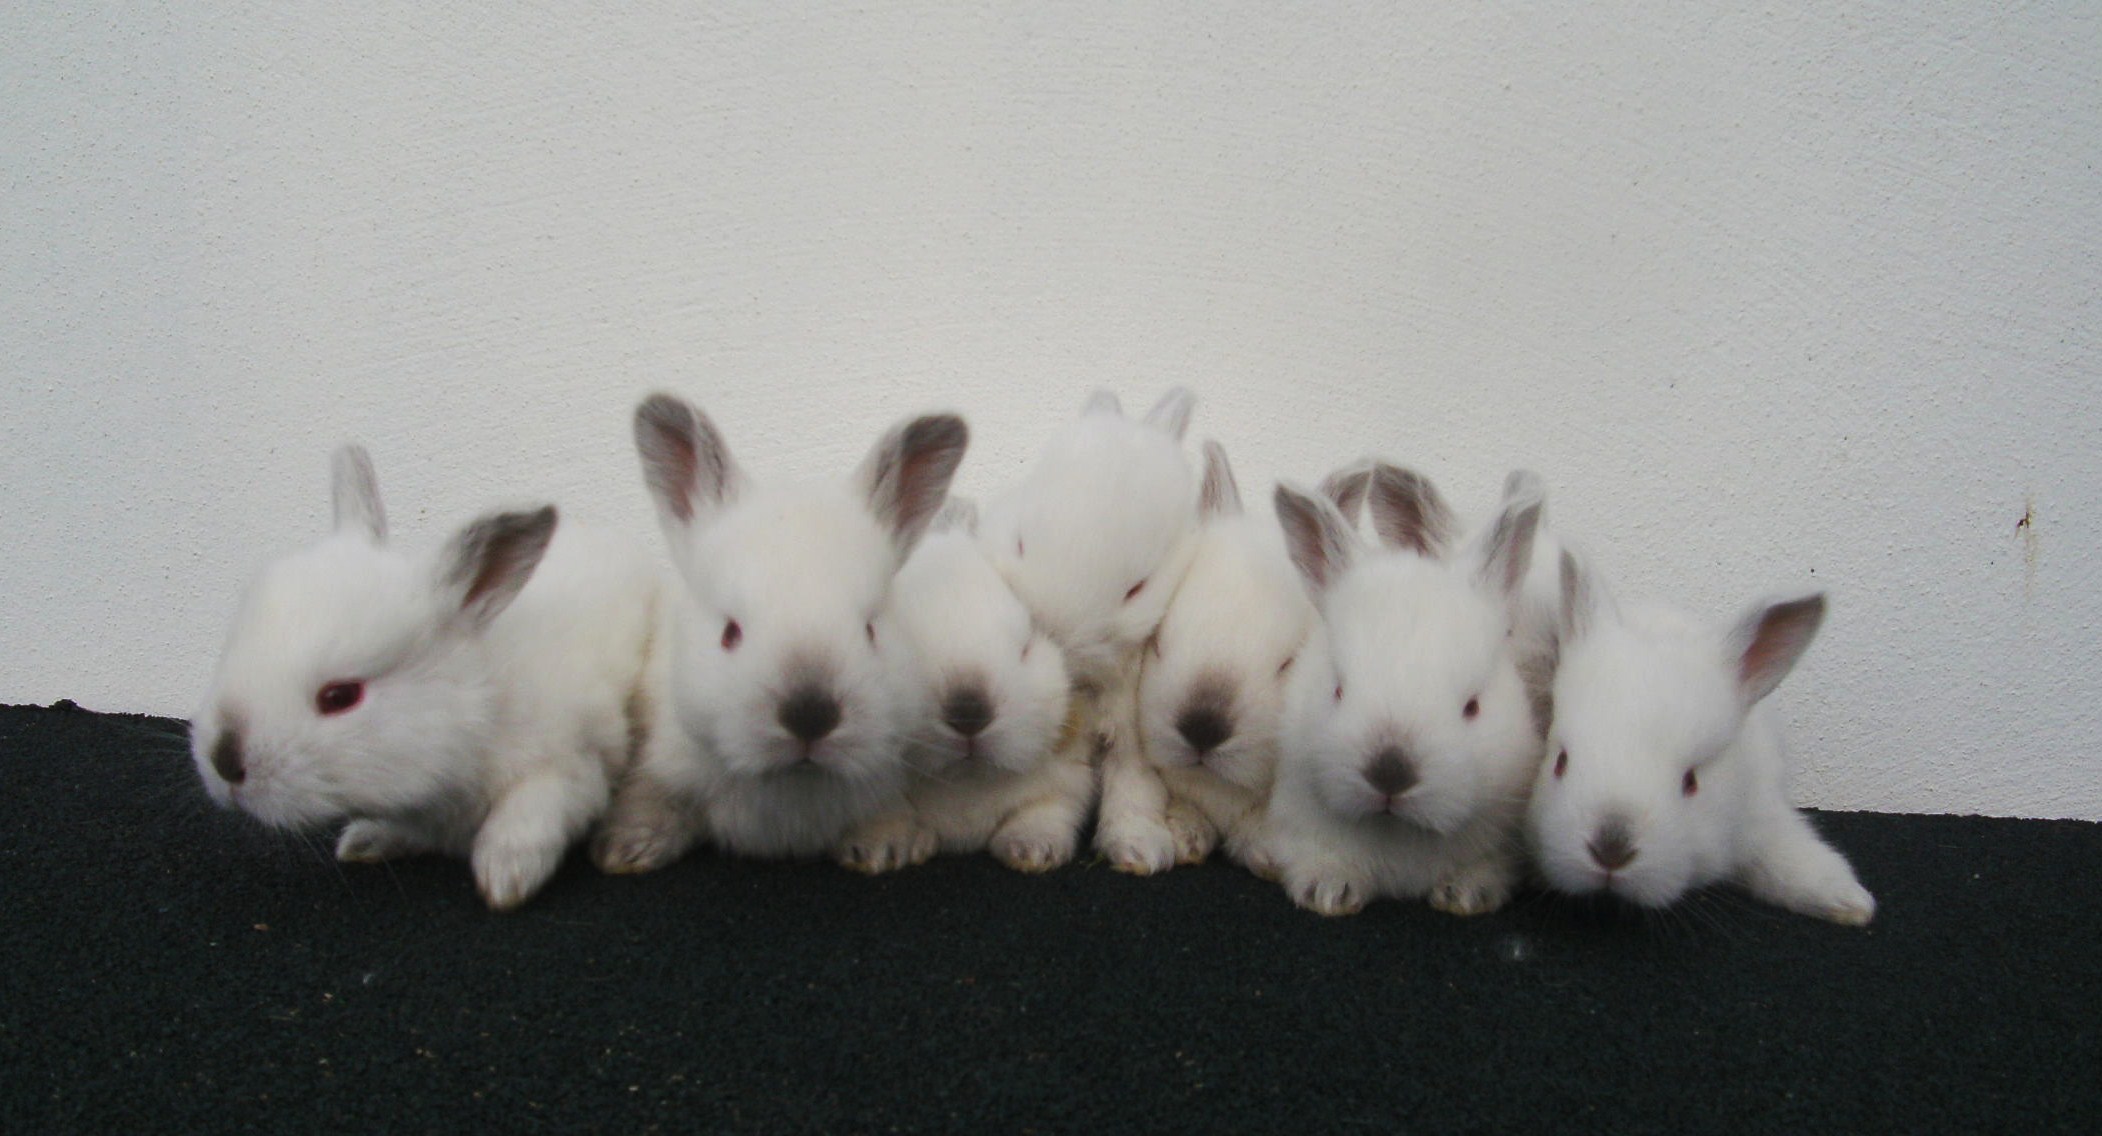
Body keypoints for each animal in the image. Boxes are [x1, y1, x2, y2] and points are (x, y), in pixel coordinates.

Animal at [190, 445, 661, 911]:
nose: (224, 762)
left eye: (340, 696)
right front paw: (364, 841)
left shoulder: (571, 766)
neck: (481, 706)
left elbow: (525, 819)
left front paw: (503, 881)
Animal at [591, 392, 968, 870]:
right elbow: (652, 797)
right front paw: (627, 847)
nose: (810, 716)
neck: (791, 785)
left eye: (871, 629)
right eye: (729, 632)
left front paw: (888, 846)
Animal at [832, 499, 1092, 874]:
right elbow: (885, 816)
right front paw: (879, 850)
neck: (967, 783)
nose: (969, 711)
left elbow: (1045, 811)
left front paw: (1033, 850)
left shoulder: (1067, 780)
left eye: (1026, 646)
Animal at [976, 388, 1203, 874]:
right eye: (1020, 541)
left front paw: (1139, 852)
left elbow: (1134, 791)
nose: (1055, 635)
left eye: (1138, 588)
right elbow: (1053, 794)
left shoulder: (1136, 741)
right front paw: (1031, 848)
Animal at [1259, 464, 1548, 916]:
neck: (1397, 833)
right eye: (1337, 690)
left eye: (1472, 706)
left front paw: (1466, 893)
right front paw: (1328, 891)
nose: (1390, 773)